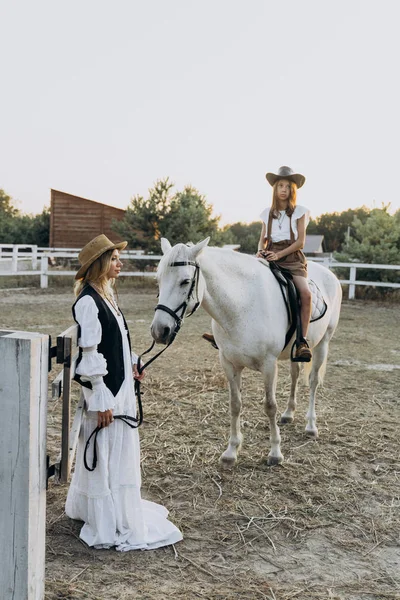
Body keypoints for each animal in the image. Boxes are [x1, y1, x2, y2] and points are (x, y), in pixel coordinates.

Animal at [150, 237, 340, 466]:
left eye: (185, 281)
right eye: (158, 280)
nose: (159, 331)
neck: (242, 305)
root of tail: (329, 273)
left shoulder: (269, 365)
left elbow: (270, 406)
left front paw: (275, 452)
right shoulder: (229, 363)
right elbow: (235, 404)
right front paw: (231, 451)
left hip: (323, 343)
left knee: (313, 382)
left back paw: (311, 426)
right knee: (295, 375)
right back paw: (289, 414)